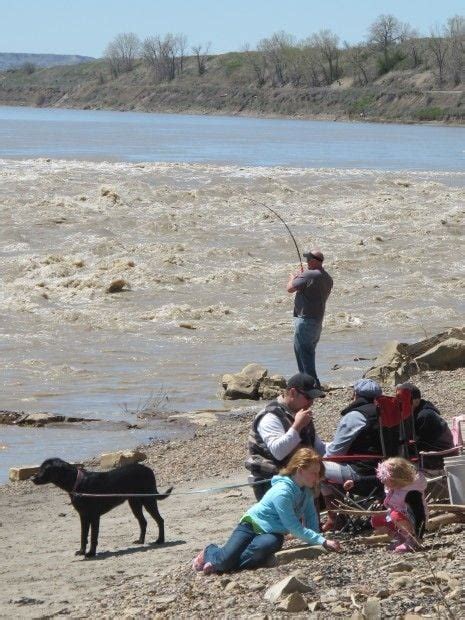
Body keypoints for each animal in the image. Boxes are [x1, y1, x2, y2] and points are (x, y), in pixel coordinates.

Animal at [31, 458, 172, 560]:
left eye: (45, 469)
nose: (32, 478)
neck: (78, 482)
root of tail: (149, 469)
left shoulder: (94, 516)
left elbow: (93, 536)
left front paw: (91, 553)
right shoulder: (83, 516)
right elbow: (83, 535)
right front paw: (82, 551)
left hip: (148, 500)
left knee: (160, 520)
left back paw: (160, 540)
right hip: (134, 503)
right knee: (143, 521)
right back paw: (141, 541)